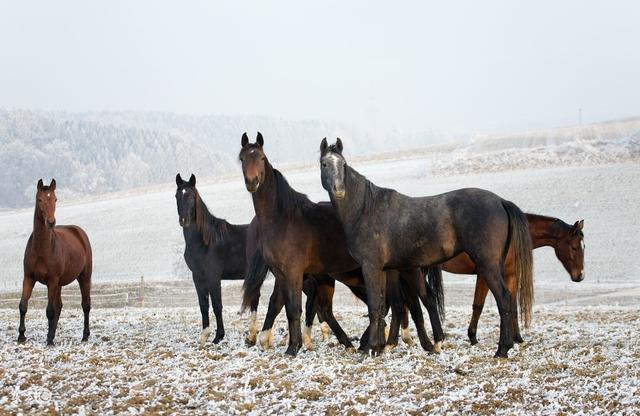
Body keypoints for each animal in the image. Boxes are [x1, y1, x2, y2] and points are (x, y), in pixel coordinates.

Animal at [18, 179, 93, 344]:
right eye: (39, 199)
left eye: (55, 199)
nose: (51, 222)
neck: (42, 249)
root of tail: (79, 232)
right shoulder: (29, 278)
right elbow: (23, 306)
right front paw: (21, 336)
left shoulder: (52, 281)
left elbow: (50, 310)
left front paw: (50, 341)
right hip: (59, 284)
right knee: (59, 306)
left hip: (84, 277)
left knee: (85, 305)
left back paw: (84, 335)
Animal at [174, 174, 268, 346]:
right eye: (177, 196)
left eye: (191, 196)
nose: (184, 220)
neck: (205, 241)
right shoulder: (198, 277)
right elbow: (203, 305)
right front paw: (204, 335)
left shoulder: (213, 277)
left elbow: (217, 306)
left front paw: (218, 336)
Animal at [238, 135, 442, 356]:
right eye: (242, 158)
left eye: (261, 158)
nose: (252, 182)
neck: (282, 219)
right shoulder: (282, 273)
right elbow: (282, 305)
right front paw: (282, 343)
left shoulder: (293, 272)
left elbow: (293, 308)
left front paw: (293, 347)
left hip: (402, 271)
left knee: (413, 301)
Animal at [320, 139, 536, 358]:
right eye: (324, 164)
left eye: (343, 165)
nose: (339, 190)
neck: (366, 210)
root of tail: (500, 201)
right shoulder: (389, 269)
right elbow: (389, 305)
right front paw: (382, 346)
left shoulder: (371, 267)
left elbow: (376, 306)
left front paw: (370, 348)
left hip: (487, 265)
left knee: (504, 299)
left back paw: (502, 349)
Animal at [424, 214, 584, 344]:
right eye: (575, 247)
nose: (580, 276)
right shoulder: (484, 275)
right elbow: (478, 306)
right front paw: (473, 337)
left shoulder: (511, 275)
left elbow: (512, 306)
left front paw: (517, 338)